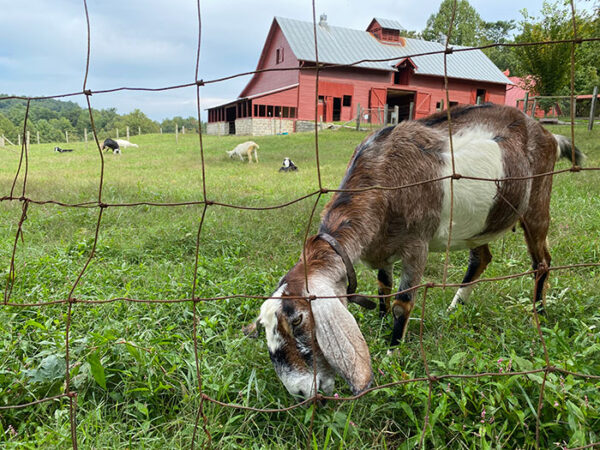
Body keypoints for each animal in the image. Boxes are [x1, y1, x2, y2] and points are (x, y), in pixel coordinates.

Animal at [241, 103, 584, 400]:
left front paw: (392, 351)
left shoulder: (417, 244)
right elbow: (384, 286)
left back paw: (539, 311)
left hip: (537, 203)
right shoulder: (383, 247)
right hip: (478, 223)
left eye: (298, 320)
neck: (383, 175)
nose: (300, 391)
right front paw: (379, 321)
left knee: (542, 262)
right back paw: (455, 307)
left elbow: (402, 302)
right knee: (482, 258)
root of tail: (550, 136)